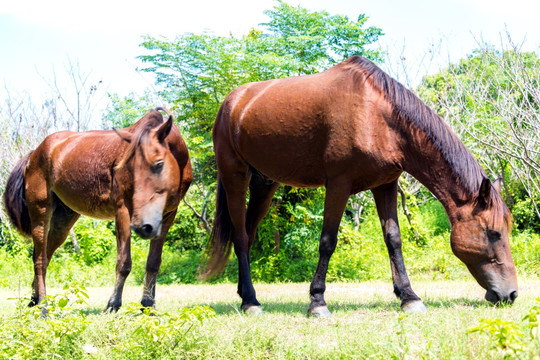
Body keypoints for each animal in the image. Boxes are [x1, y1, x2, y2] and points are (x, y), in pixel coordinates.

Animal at [1, 107, 192, 312]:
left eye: (159, 164)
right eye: (129, 169)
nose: (144, 226)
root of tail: (35, 153)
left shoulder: (167, 215)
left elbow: (153, 263)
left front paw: (148, 307)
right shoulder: (123, 211)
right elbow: (124, 262)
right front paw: (113, 305)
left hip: (63, 221)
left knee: (44, 257)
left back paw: (35, 301)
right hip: (40, 212)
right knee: (39, 260)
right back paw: (43, 306)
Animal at [202, 54, 520, 316]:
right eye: (493, 233)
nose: (512, 293)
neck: (378, 116)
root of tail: (232, 103)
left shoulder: (386, 185)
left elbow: (393, 239)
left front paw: (409, 297)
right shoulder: (338, 185)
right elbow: (327, 241)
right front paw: (317, 301)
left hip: (264, 185)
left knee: (248, 235)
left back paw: (246, 295)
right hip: (235, 177)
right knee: (240, 236)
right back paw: (251, 302)